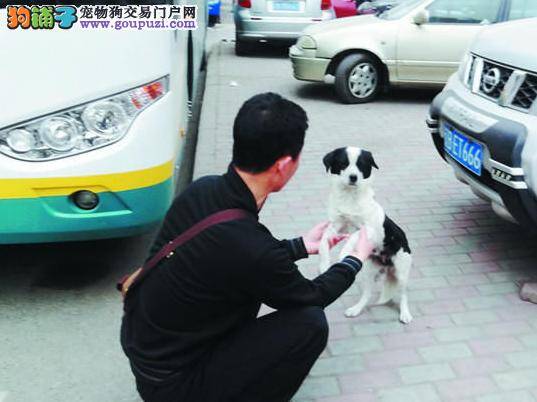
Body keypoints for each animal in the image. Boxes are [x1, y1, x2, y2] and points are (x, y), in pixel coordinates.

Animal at [320, 147, 412, 324]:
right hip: (367, 272)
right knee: (367, 294)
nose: (353, 177)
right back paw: (356, 309)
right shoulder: (337, 226)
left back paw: (405, 314)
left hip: (402, 272)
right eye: (343, 163)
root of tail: (386, 263)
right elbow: (323, 241)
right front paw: (323, 263)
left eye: (361, 164)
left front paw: (343, 254)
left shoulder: (367, 229)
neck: (350, 196)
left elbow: (352, 239)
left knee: (404, 295)